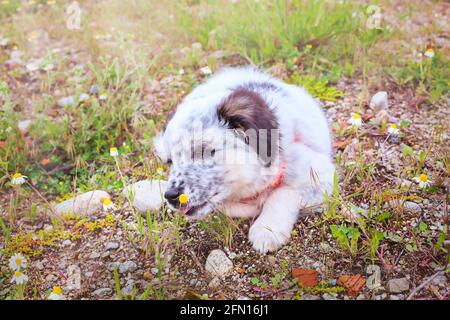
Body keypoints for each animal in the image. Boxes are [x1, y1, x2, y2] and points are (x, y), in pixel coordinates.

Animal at [154, 67, 334, 252]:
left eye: (203, 151)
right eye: (169, 161)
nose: (170, 196)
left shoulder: (320, 175)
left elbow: (282, 193)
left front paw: (267, 229)